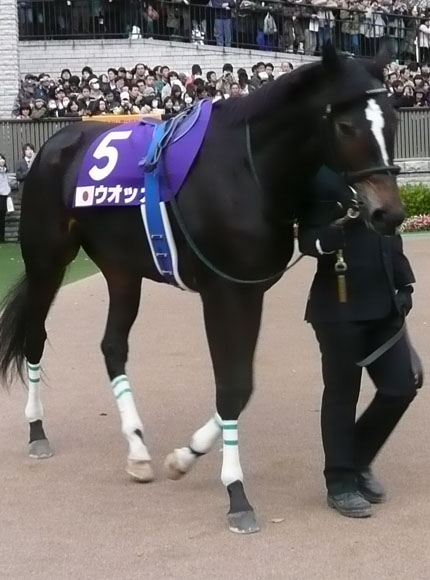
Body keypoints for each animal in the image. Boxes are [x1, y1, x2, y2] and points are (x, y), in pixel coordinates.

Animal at [0, 47, 404, 532]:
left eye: (392, 119)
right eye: (346, 126)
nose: (388, 213)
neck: (247, 169)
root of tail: (56, 142)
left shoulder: (251, 290)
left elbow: (241, 387)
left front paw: (184, 458)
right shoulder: (223, 292)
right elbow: (232, 386)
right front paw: (237, 494)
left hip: (122, 270)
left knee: (112, 346)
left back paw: (138, 450)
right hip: (47, 262)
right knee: (35, 337)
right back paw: (37, 431)